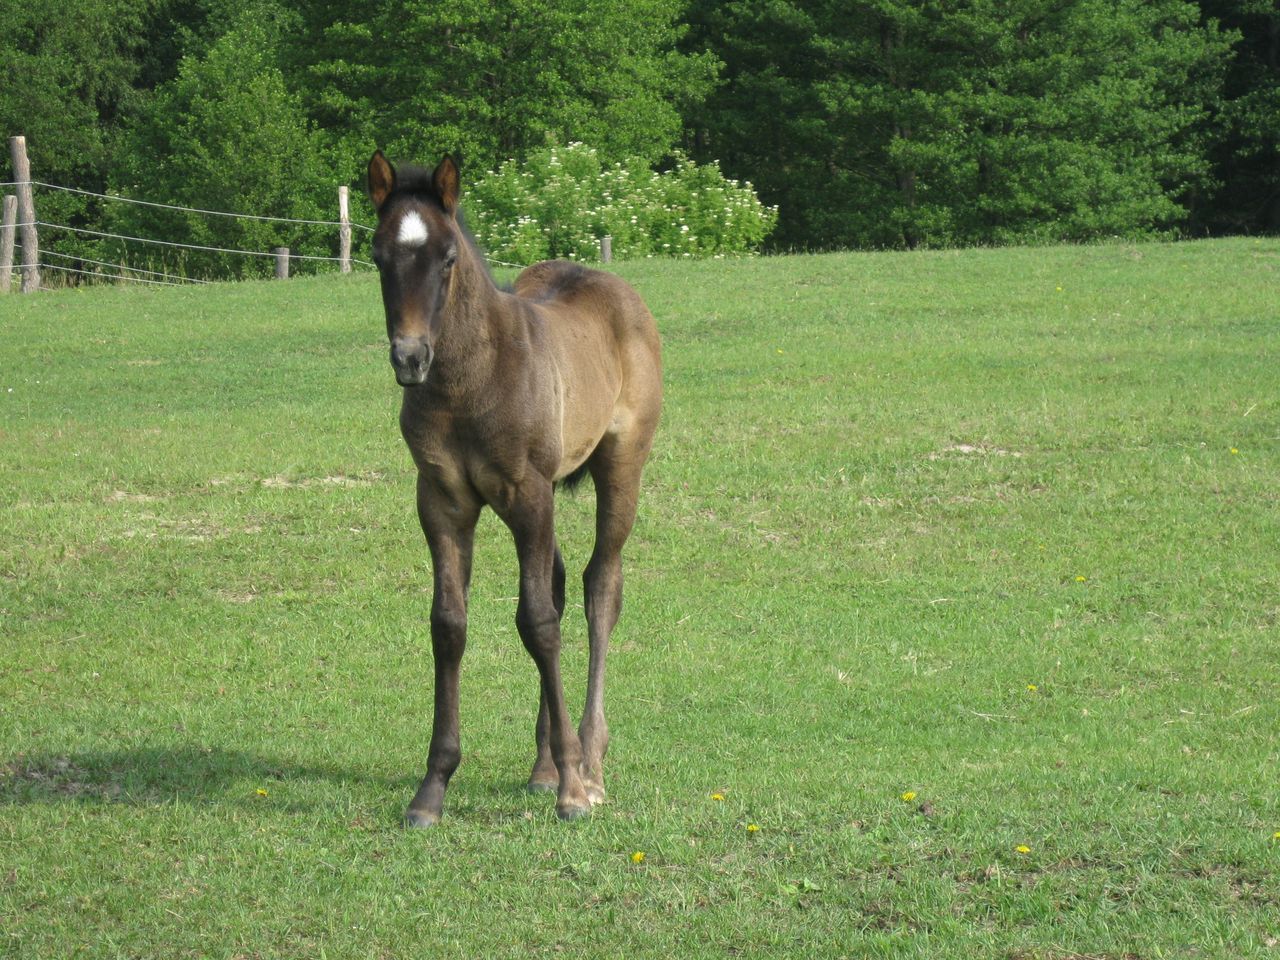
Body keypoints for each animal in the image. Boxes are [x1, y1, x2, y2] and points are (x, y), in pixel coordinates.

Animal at [360, 150, 660, 829]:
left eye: (448, 258)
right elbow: (450, 624)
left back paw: (589, 762)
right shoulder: (442, 501)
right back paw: (547, 762)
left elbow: (540, 623)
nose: (410, 358)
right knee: (559, 581)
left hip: (619, 467)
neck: (471, 379)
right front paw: (432, 789)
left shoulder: (528, 493)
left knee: (600, 587)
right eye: (378, 255)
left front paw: (573, 791)